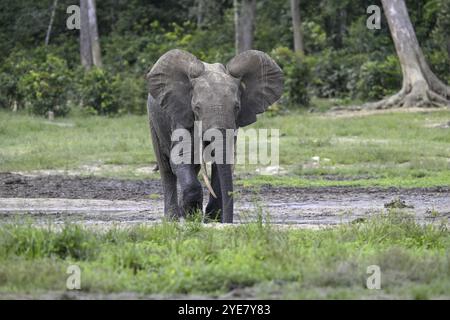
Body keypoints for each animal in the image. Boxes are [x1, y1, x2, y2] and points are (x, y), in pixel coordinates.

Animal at [146, 48, 284, 222]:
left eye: (237, 107)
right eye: (196, 108)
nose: (227, 222)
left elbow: (223, 160)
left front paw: (212, 219)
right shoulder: (181, 114)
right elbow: (180, 156)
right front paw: (193, 216)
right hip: (154, 120)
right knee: (166, 168)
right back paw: (173, 219)